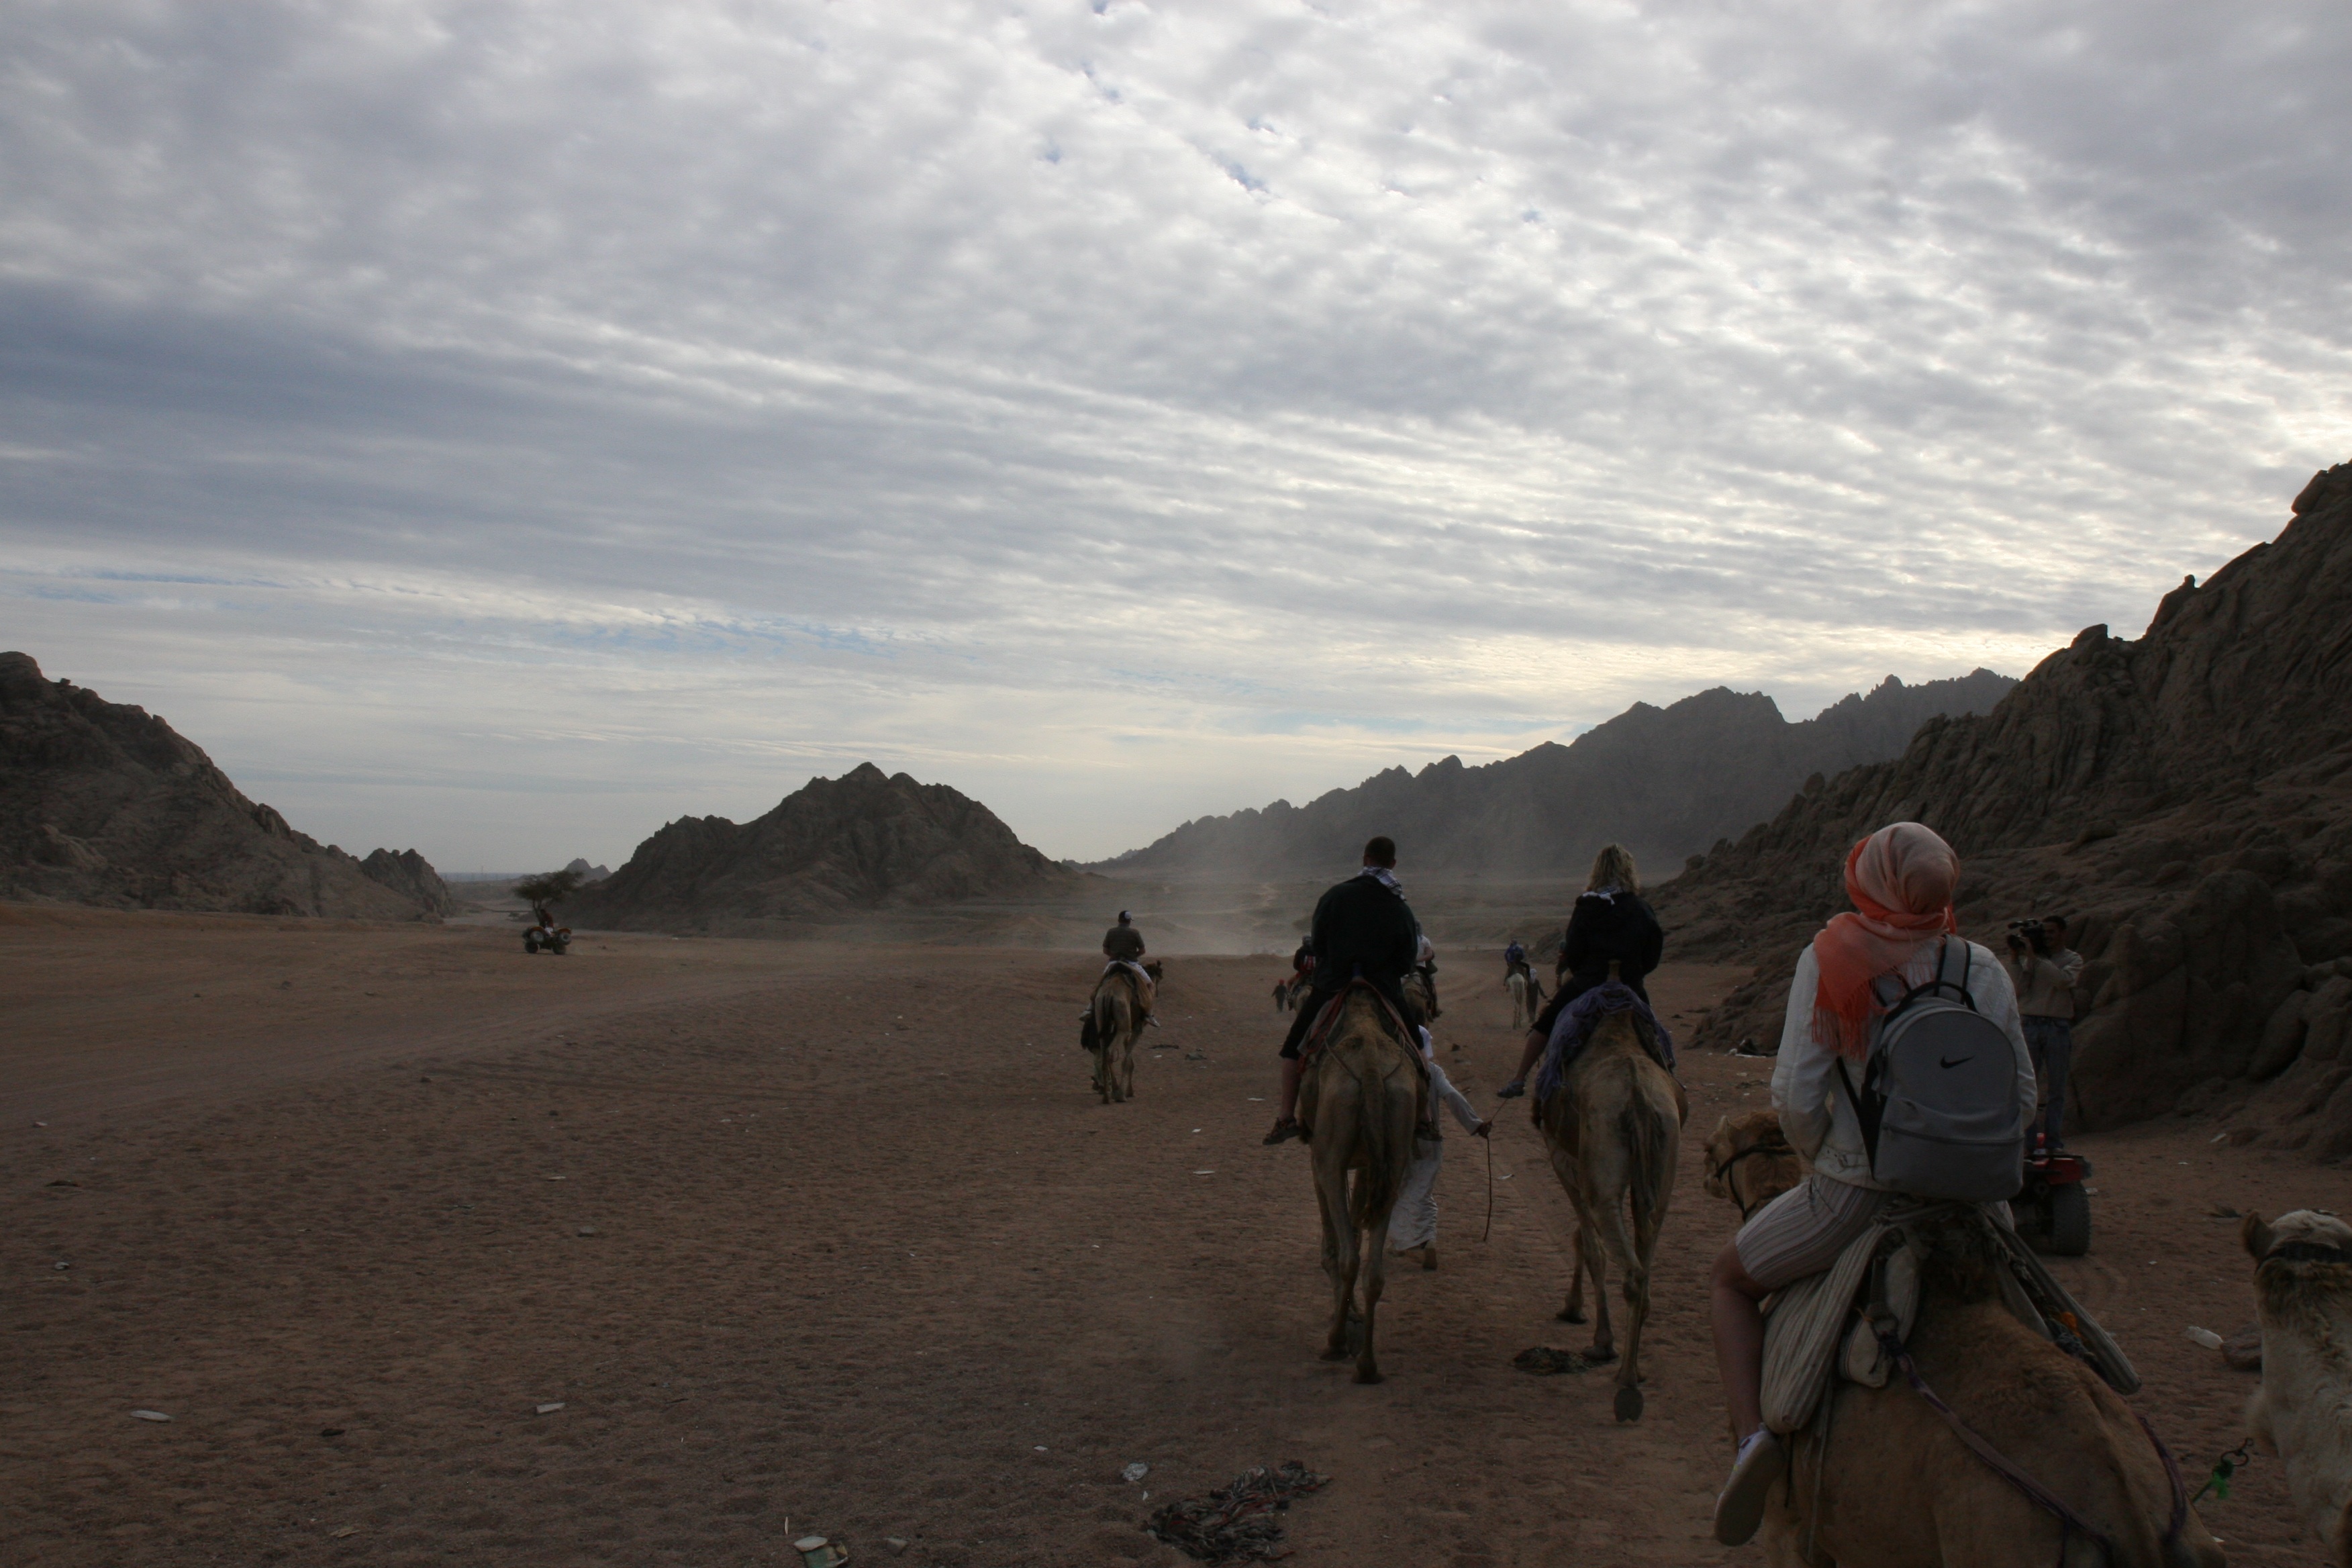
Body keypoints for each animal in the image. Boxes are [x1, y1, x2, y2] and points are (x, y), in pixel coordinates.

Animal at [1081, 959, 1157, 1105]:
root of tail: (1109, 994)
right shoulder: (1136, 1028)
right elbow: (1127, 1060)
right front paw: (1127, 1092)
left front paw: (1124, 1091)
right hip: (1123, 1026)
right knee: (1110, 1053)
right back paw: (1118, 1094)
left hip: (1102, 1021)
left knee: (1104, 1053)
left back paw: (1106, 1095)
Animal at [1298, 987, 1420, 1382]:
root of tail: (1368, 1065)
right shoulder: (1371, 1164)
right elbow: (1354, 1223)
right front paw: (1353, 1313)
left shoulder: (1320, 1157)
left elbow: (1334, 1241)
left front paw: (1345, 1314)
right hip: (1396, 1144)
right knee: (1374, 1271)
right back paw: (1367, 1363)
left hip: (1331, 1150)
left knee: (1349, 1257)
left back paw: (1335, 1343)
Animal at [1533, 991, 1683, 1420]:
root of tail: (1637, 1096)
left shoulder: (1562, 1159)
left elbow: (1589, 1245)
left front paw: (1597, 1334)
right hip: (1664, 1154)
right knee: (1646, 1252)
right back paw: (1634, 1371)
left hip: (1600, 1161)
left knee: (1629, 1269)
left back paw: (1627, 1384)